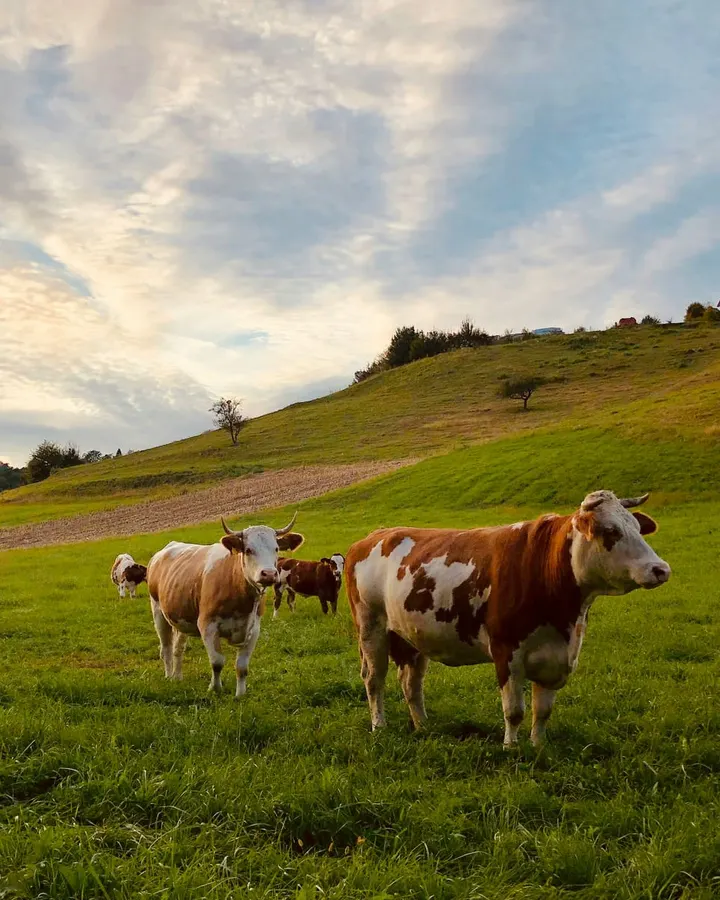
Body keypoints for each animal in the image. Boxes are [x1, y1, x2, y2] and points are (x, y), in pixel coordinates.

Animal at [146, 513, 304, 697]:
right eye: (248, 550)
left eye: (276, 549)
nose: (269, 574)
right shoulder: (207, 625)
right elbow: (217, 662)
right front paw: (215, 688)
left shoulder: (254, 629)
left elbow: (242, 667)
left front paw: (240, 695)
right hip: (158, 612)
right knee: (166, 649)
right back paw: (168, 676)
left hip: (180, 616)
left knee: (178, 648)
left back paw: (177, 677)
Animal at [344, 491, 671, 747]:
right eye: (611, 531)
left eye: (637, 528)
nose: (660, 569)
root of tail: (373, 536)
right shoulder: (506, 652)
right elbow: (514, 710)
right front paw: (511, 748)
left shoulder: (558, 657)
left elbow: (542, 711)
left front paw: (537, 746)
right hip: (371, 627)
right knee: (374, 679)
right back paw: (379, 725)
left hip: (411, 635)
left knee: (411, 683)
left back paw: (423, 726)